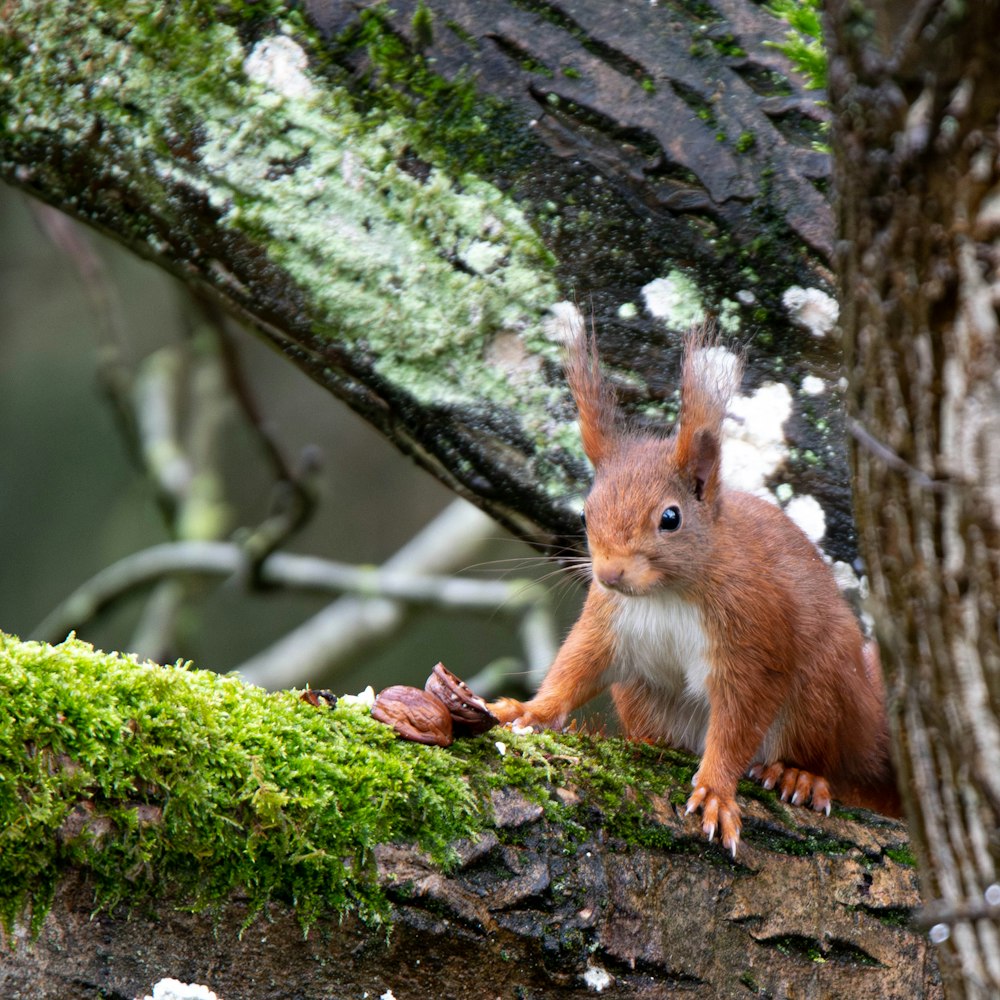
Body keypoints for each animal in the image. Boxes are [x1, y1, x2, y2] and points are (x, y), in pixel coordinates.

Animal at [488, 328, 904, 852]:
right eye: (584, 514)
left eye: (671, 517)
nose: (610, 574)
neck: (666, 593)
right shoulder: (607, 622)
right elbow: (574, 668)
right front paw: (526, 709)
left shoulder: (751, 637)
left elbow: (737, 722)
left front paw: (716, 792)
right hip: (642, 694)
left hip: (820, 695)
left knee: (822, 758)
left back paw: (797, 775)